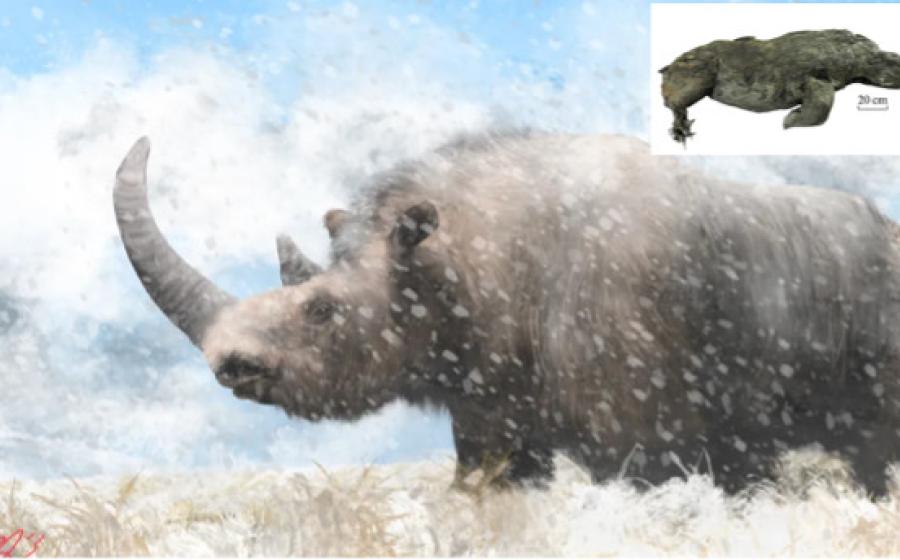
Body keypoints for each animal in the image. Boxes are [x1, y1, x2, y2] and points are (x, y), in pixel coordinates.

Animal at [660, 29, 900, 143]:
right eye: (880, 60)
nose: (895, 61)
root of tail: (667, 67)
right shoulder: (816, 76)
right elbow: (821, 107)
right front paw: (791, 120)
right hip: (697, 75)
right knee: (676, 103)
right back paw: (681, 126)